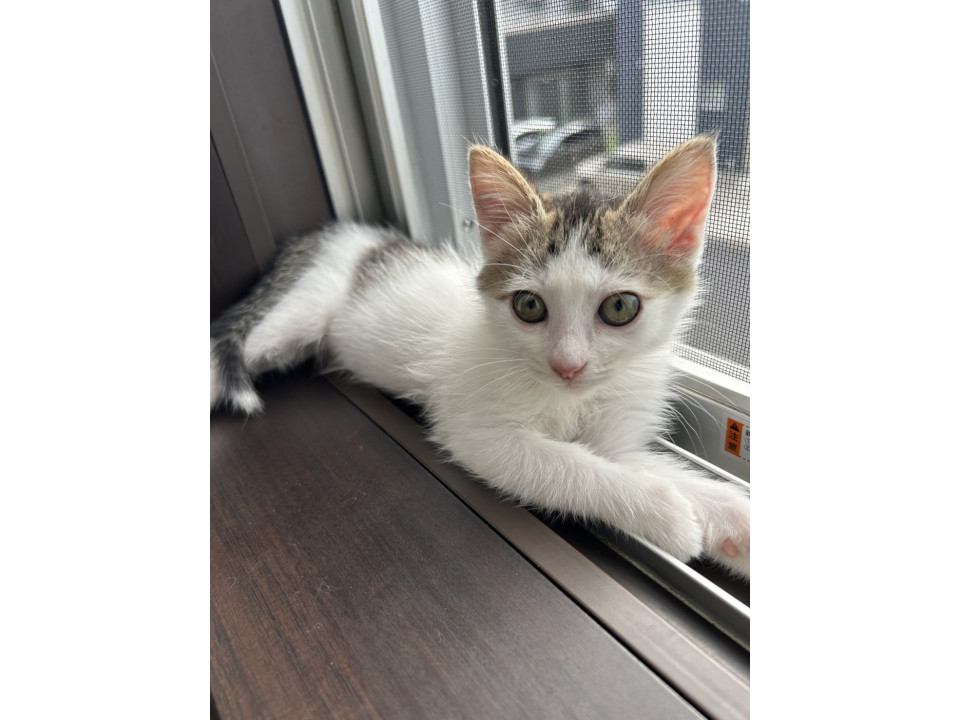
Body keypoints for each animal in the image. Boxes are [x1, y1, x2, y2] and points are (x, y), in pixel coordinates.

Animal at [210, 134, 750, 578]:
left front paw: (733, 518)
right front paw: (669, 514)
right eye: (529, 306)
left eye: (620, 308)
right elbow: (568, 466)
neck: (569, 396)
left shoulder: (614, 436)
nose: (568, 365)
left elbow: (626, 461)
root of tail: (335, 237)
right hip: (293, 316)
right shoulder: (476, 432)